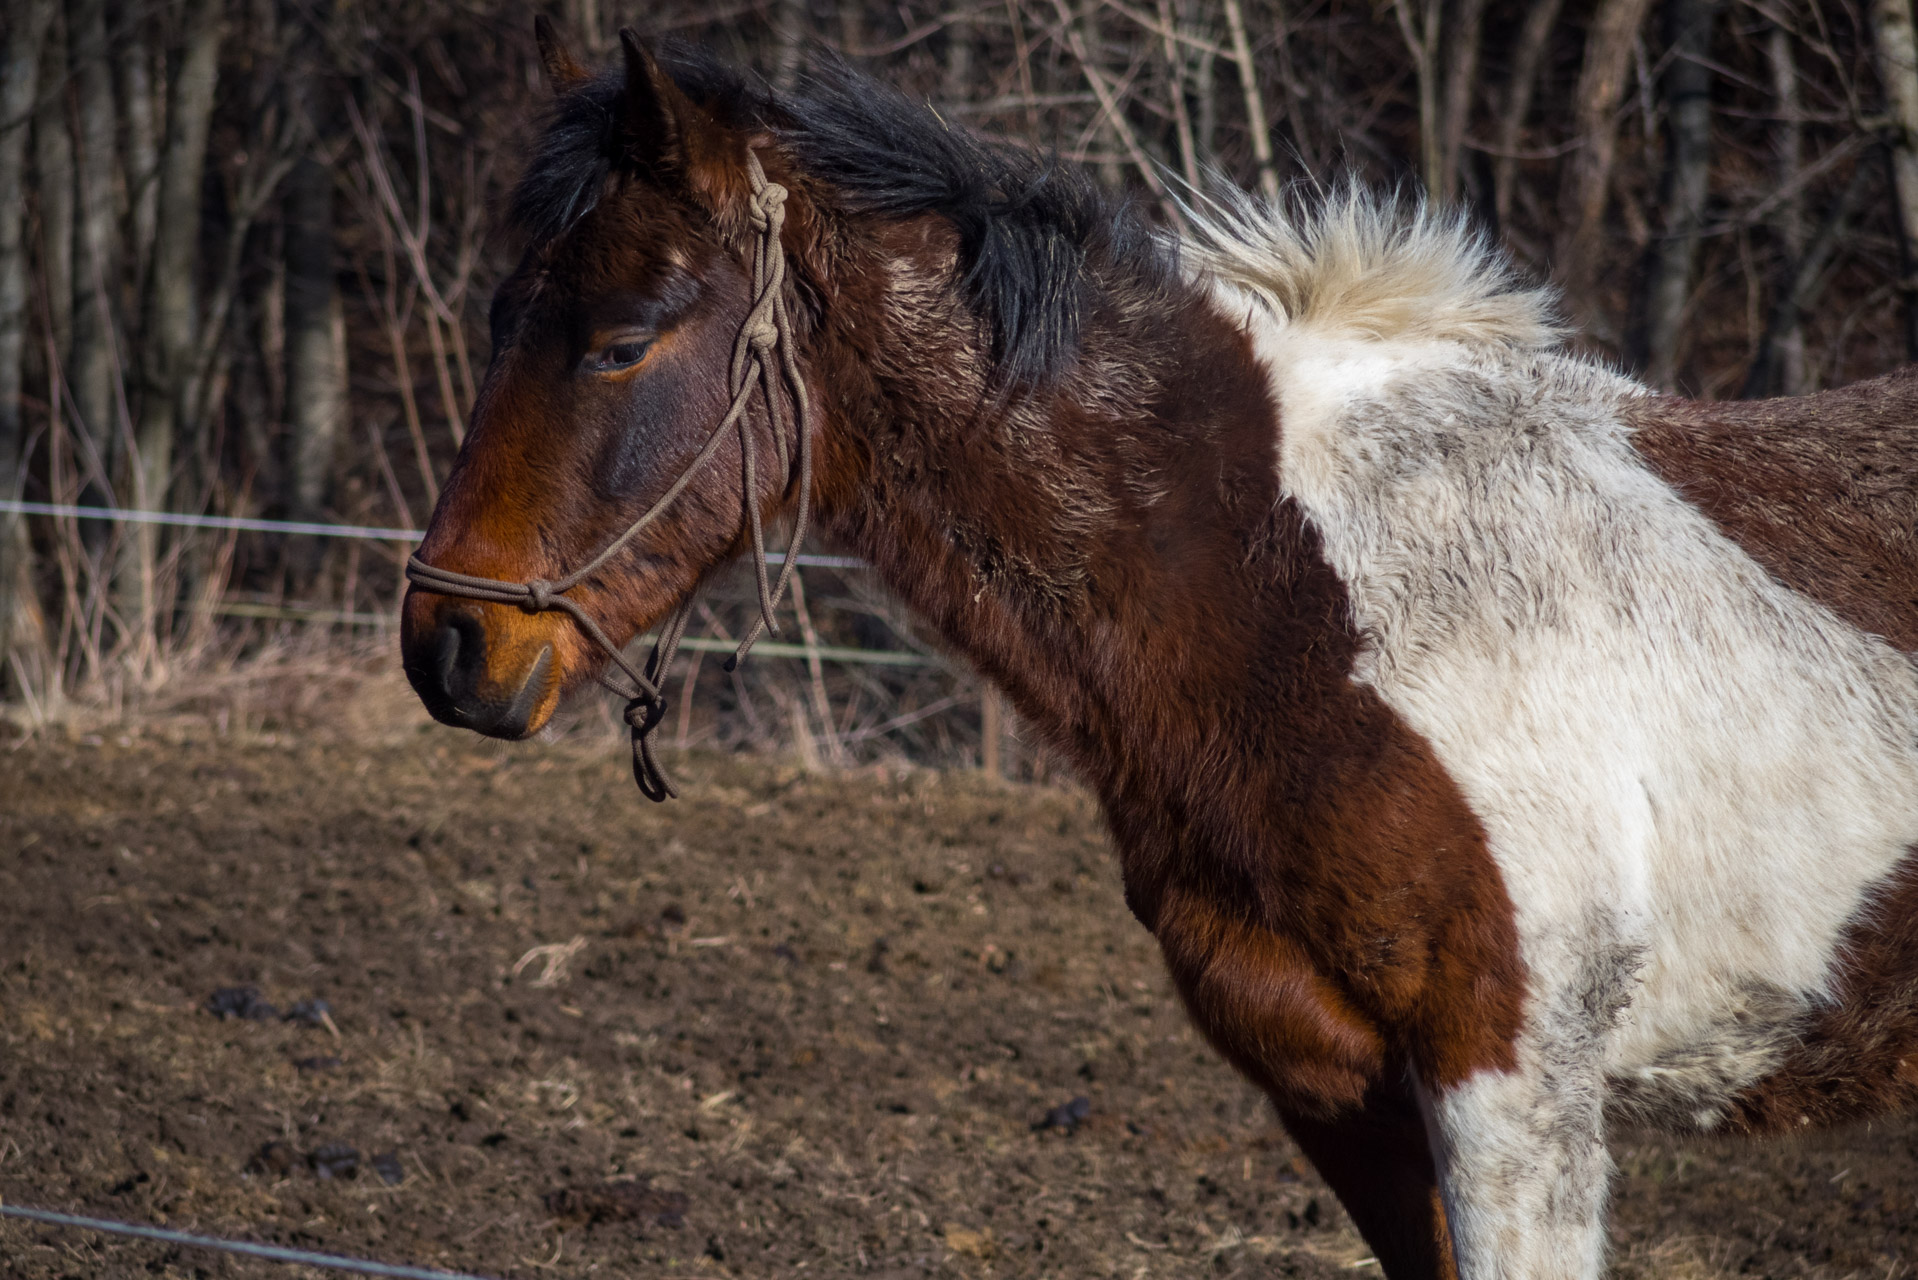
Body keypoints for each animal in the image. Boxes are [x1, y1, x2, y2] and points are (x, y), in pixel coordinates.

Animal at [400, 22, 1918, 1280]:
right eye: (502, 315)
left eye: (619, 342)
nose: (448, 643)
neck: (1301, 597)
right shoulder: (1342, 1095)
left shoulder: (1512, 1092)